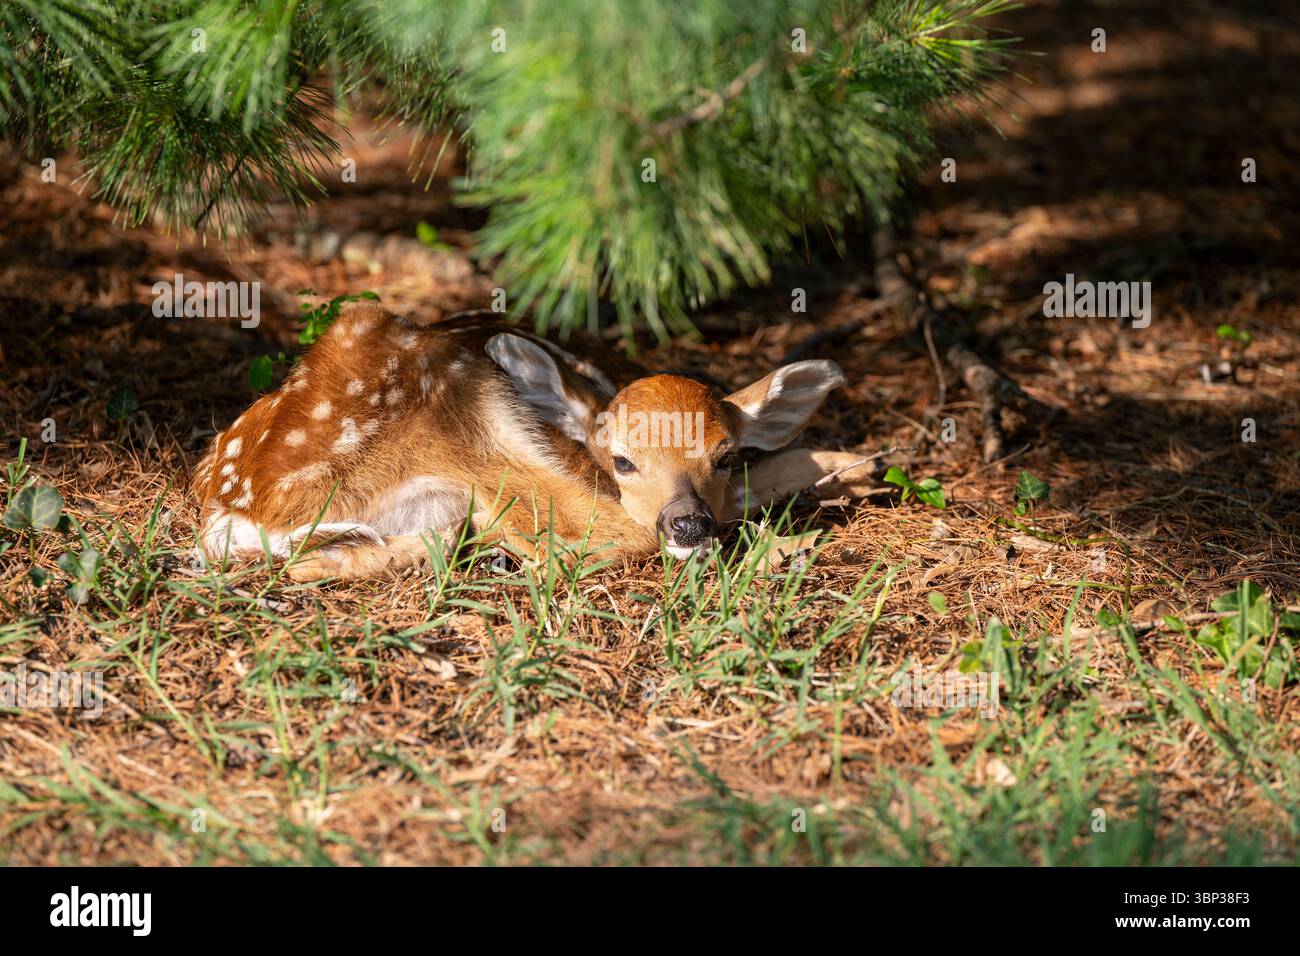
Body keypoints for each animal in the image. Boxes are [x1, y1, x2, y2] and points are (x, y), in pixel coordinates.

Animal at [191, 303, 877, 582]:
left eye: (726, 455)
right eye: (623, 460)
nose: (686, 522)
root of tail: (238, 506)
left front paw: (861, 468)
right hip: (462, 419)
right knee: (570, 541)